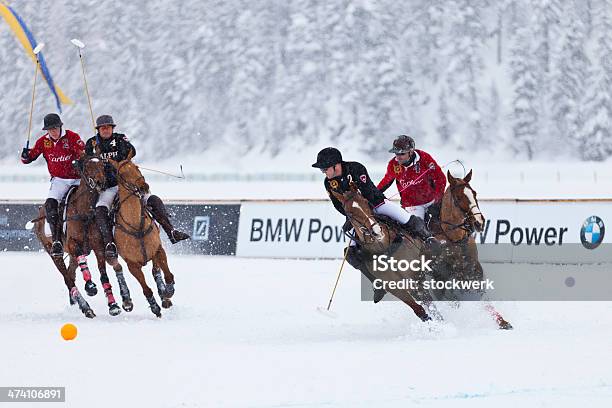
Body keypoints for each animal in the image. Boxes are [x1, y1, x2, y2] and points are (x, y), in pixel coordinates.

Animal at [32, 156, 133, 318]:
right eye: (87, 167)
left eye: (102, 165)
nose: (100, 182)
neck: (84, 210)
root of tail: (39, 214)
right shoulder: (73, 244)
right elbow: (83, 265)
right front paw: (90, 286)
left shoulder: (98, 245)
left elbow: (103, 274)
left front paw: (113, 305)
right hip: (52, 251)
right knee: (67, 278)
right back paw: (86, 307)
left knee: (71, 273)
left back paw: (77, 304)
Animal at [107, 158, 175, 318]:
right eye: (122, 173)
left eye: (137, 167)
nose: (144, 187)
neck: (136, 225)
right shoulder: (132, 264)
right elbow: (146, 288)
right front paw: (155, 307)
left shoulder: (158, 250)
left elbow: (167, 274)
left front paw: (168, 292)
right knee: (117, 267)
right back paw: (127, 301)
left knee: (156, 271)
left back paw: (164, 296)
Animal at [330, 184, 440, 322]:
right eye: (349, 213)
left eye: (366, 202)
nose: (377, 231)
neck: (384, 248)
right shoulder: (394, 286)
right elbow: (420, 309)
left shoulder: (416, 275)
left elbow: (430, 302)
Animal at [430, 171, 512, 330]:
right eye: (458, 197)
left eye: (474, 193)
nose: (479, 222)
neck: (455, 240)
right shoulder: (445, 277)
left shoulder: (474, 272)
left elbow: (482, 299)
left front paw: (502, 321)